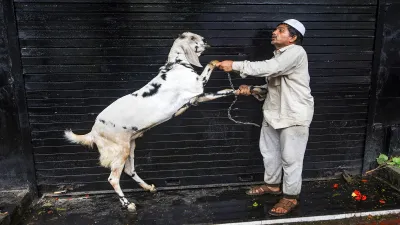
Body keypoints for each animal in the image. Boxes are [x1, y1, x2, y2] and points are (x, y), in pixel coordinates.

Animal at [63, 32, 234, 213]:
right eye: (194, 38)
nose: (207, 41)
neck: (176, 65)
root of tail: (94, 131)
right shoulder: (198, 87)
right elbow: (210, 65)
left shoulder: (197, 98)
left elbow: (219, 92)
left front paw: (233, 89)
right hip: (120, 151)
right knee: (113, 179)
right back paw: (128, 204)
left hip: (130, 147)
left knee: (130, 170)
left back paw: (148, 187)